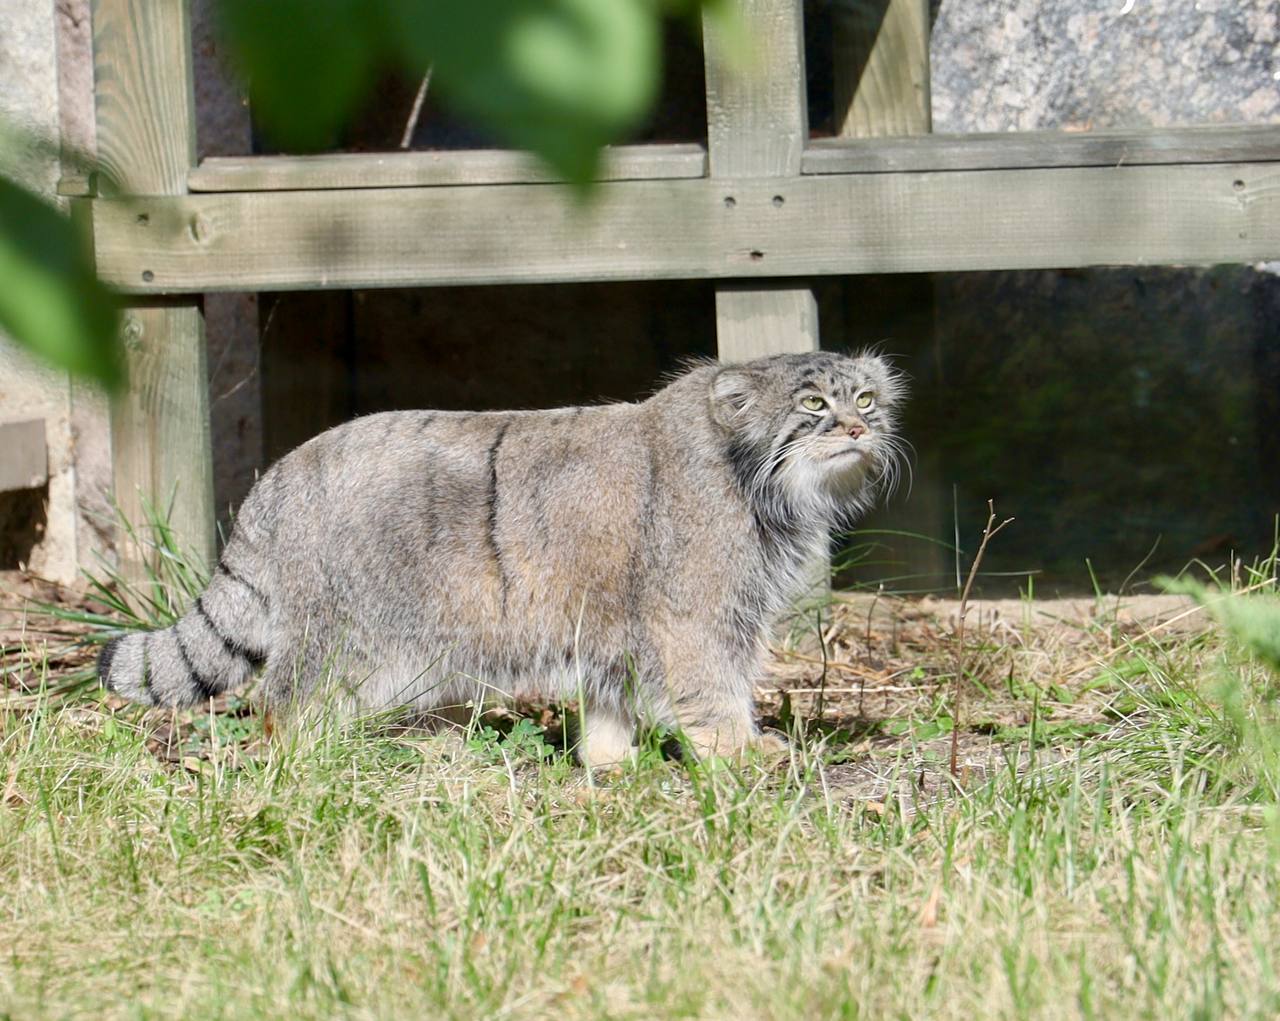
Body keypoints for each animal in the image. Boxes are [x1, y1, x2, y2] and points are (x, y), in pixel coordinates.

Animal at [99, 355, 906, 762]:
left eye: (866, 396)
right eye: (812, 405)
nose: (860, 428)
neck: (747, 474)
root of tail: (277, 475)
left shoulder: (612, 630)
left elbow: (609, 709)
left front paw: (609, 771)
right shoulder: (696, 620)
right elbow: (714, 694)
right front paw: (747, 758)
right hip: (349, 642)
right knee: (281, 707)